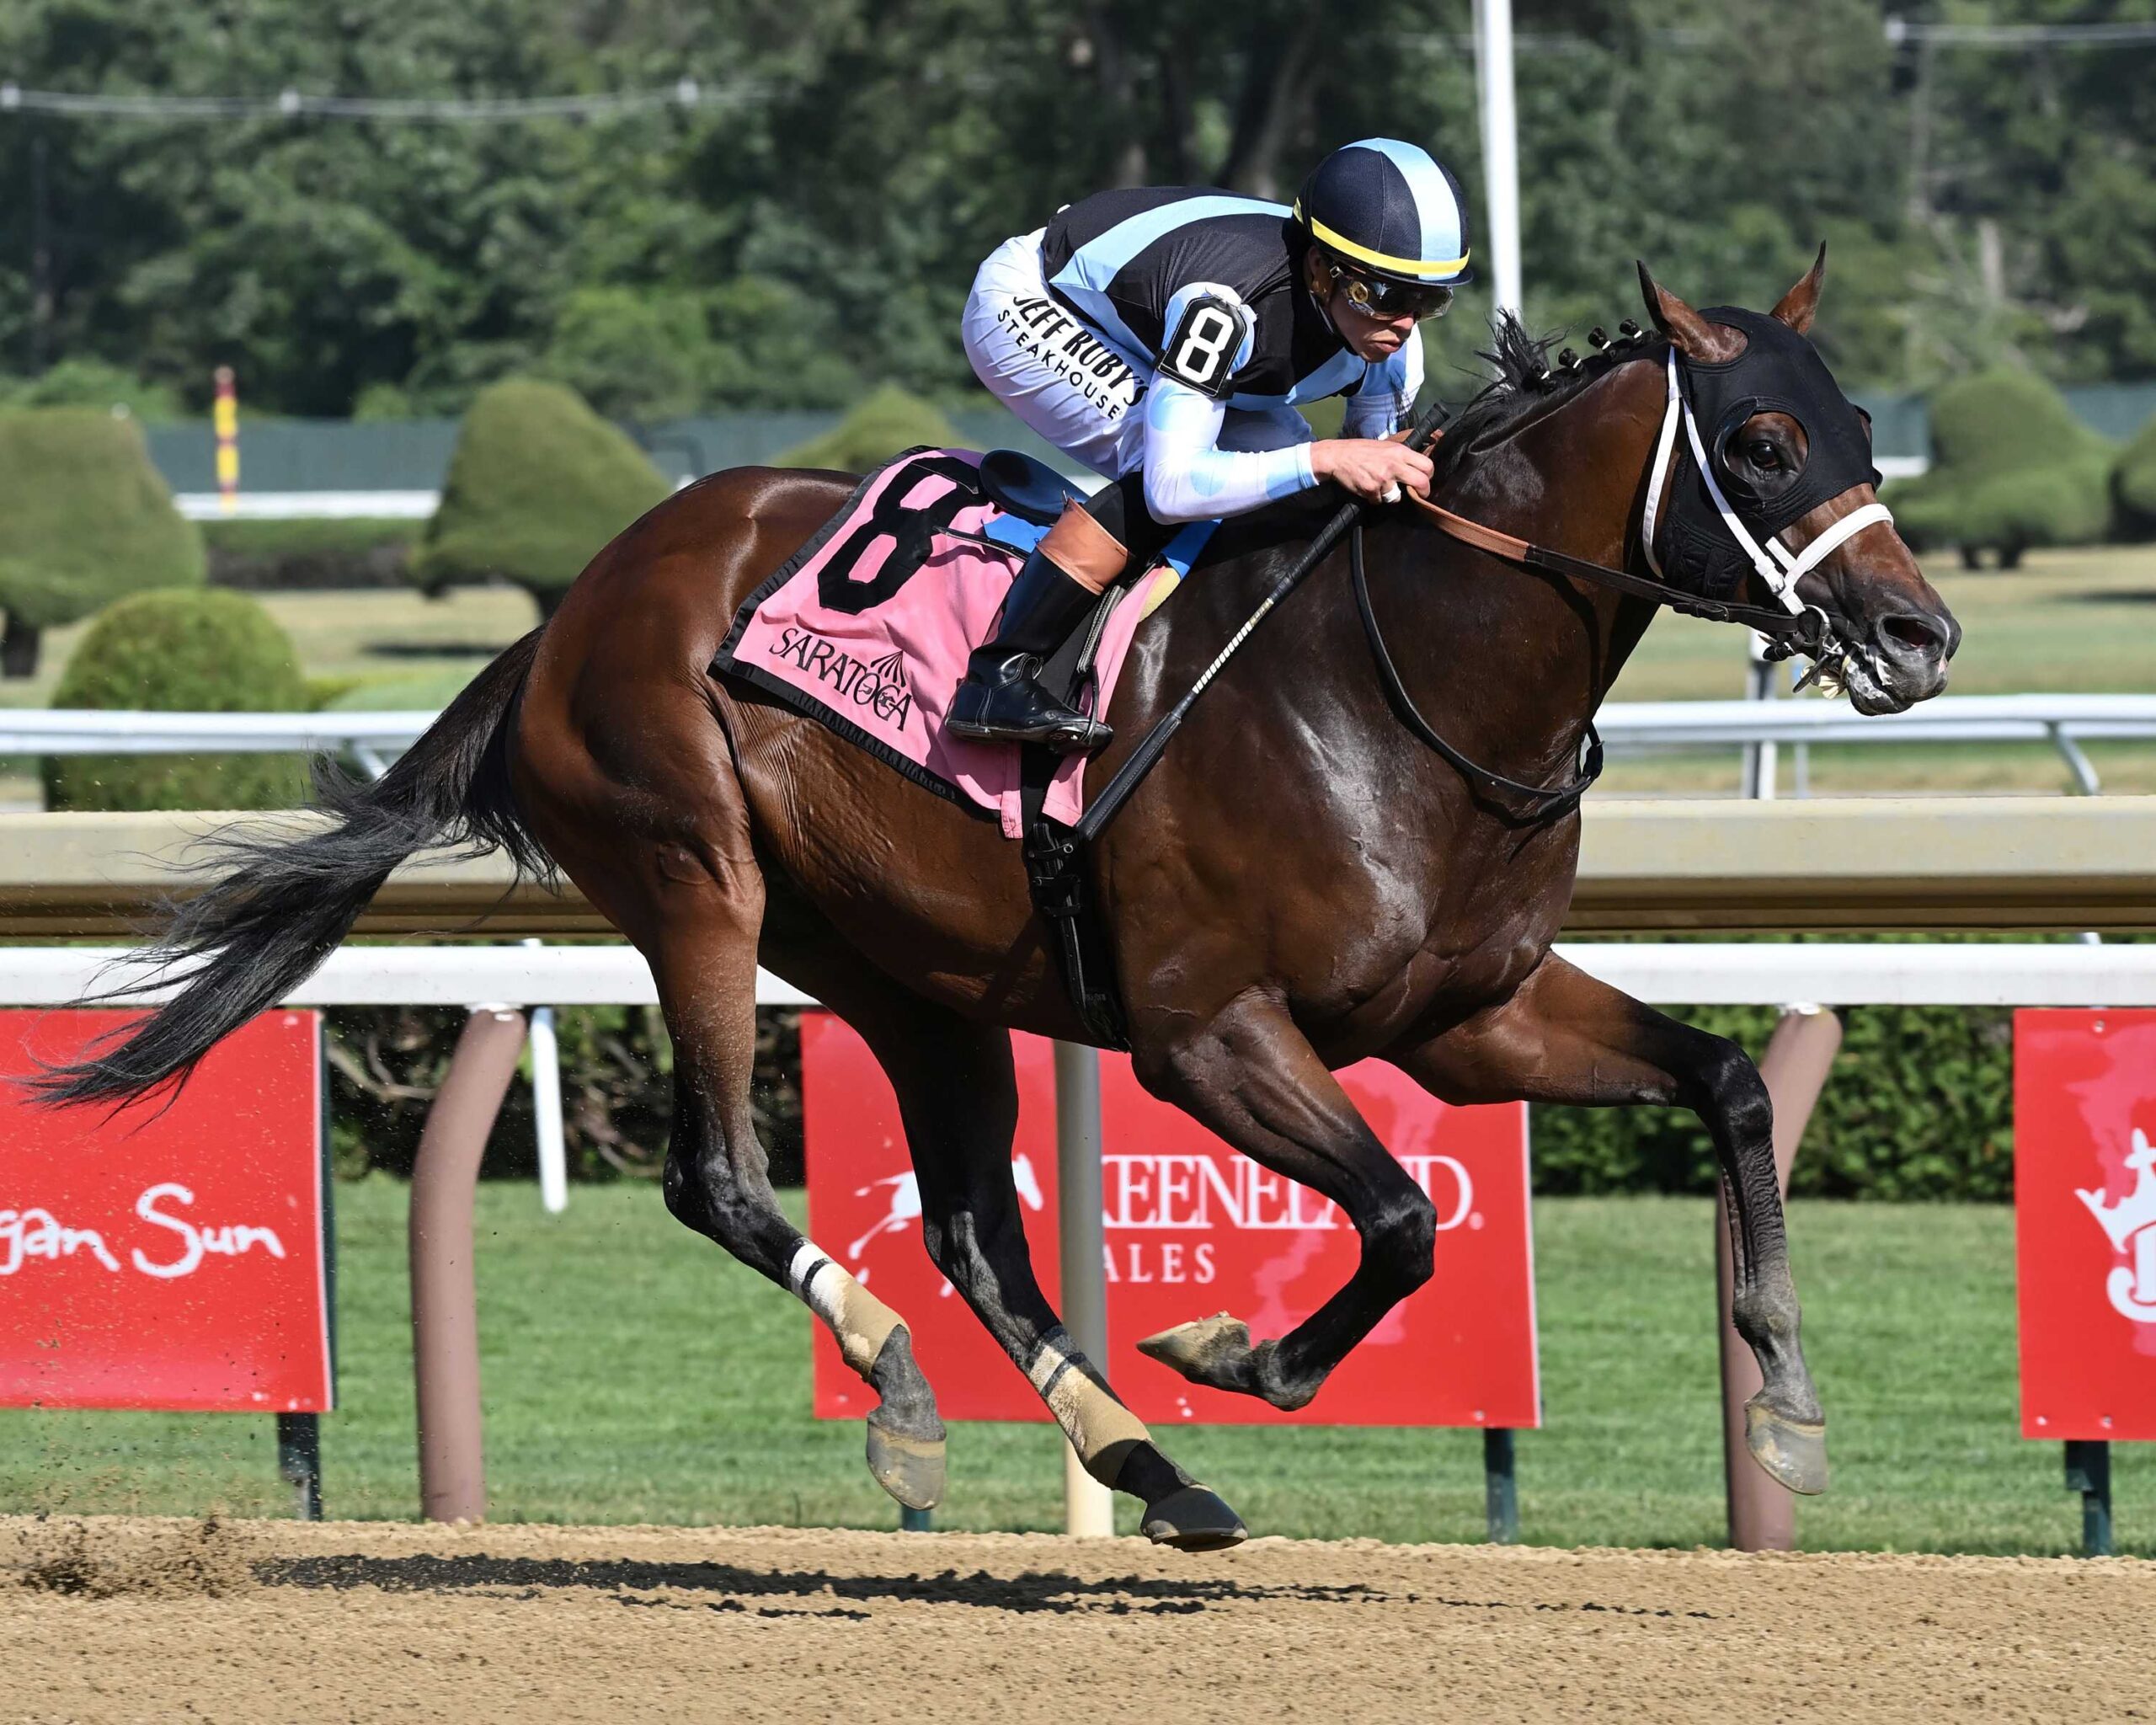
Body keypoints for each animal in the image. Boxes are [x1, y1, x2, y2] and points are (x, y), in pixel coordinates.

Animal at [44, 256, 1957, 1551]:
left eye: (1862, 426)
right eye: (1760, 438)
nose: (1919, 633)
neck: (1404, 677)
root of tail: (577, 601)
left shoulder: (1465, 1016)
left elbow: (1724, 1086)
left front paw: (1787, 1406)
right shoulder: (1206, 1032)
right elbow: (1405, 1217)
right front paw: (1231, 1345)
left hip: (917, 973)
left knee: (974, 1228)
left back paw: (1143, 1464)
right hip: (697, 881)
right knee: (719, 1177)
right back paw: (909, 1387)